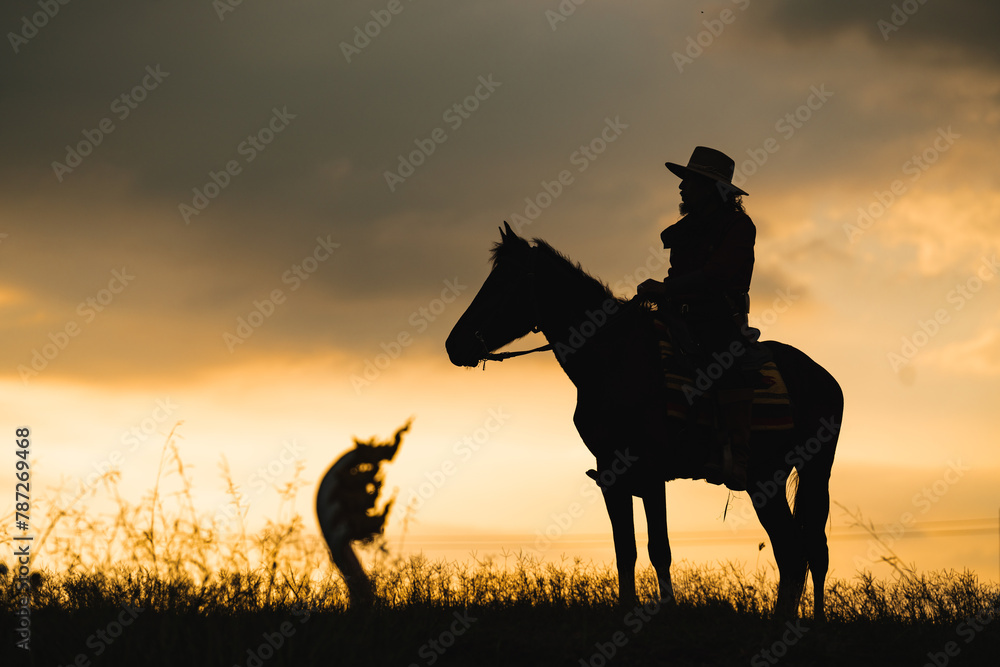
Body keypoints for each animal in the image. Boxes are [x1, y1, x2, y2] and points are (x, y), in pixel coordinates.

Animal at [445, 223, 844, 619]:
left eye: (503, 281)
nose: (454, 345)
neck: (614, 358)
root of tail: (824, 378)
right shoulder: (610, 472)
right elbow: (626, 550)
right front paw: (627, 610)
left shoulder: (651, 472)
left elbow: (658, 549)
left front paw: (665, 612)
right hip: (766, 479)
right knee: (792, 551)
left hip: (813, 471)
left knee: (813, 550)